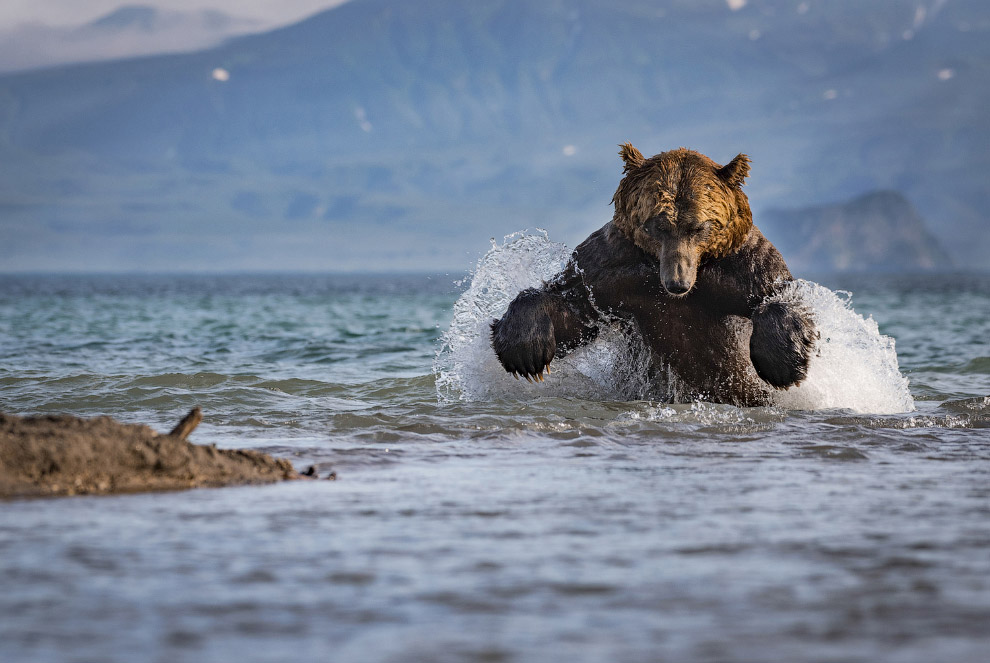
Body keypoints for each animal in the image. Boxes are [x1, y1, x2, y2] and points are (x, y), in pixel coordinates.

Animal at [492, 143, 816, 408]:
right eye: (657, 225)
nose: (677, 283)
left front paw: (783, 363)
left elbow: (779, 294)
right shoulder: (607, 271)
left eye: (699, 227)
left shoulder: (740, 266)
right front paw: (525, 351)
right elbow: (571, 310)